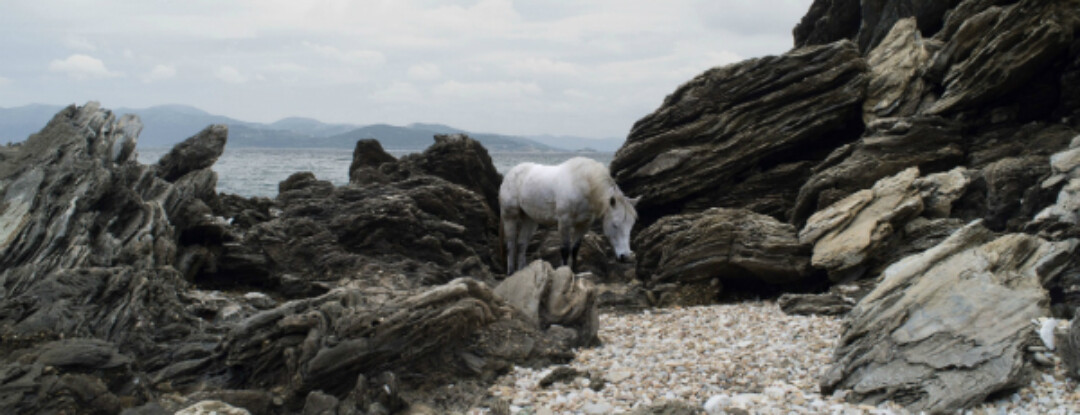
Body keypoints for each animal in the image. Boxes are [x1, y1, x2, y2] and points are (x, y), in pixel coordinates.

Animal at [498, 157, 639, 274]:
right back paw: (510, 272)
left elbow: (575, 249)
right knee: (511, 244)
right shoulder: (564, 222)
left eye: (631, 226)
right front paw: (564, 271)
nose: (625, 256)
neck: (584, 184)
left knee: (522, 244)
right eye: (615, 225)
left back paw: (521, 271)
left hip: (530, 220)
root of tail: (511, 173)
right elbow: (565, 249)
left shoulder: (583, 225)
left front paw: (574, 272)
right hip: (510, 216)